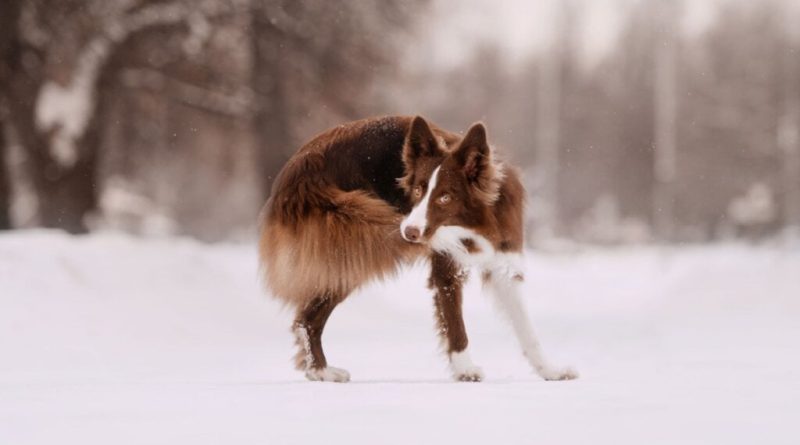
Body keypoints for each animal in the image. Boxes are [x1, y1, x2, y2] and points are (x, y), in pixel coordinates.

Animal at [260, 114, 580, 382]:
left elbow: (526, 327)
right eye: (416, 190)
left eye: (445, 197)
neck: (473, 225)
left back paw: (318, 370)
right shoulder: (447, 268)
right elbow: (455, 323)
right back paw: (322, 371)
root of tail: (295, 170)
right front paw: (465, 370)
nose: (409, 232)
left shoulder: (504, 261)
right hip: (356, 241)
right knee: (308, 318)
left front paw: (549, 370)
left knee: (307, 317)